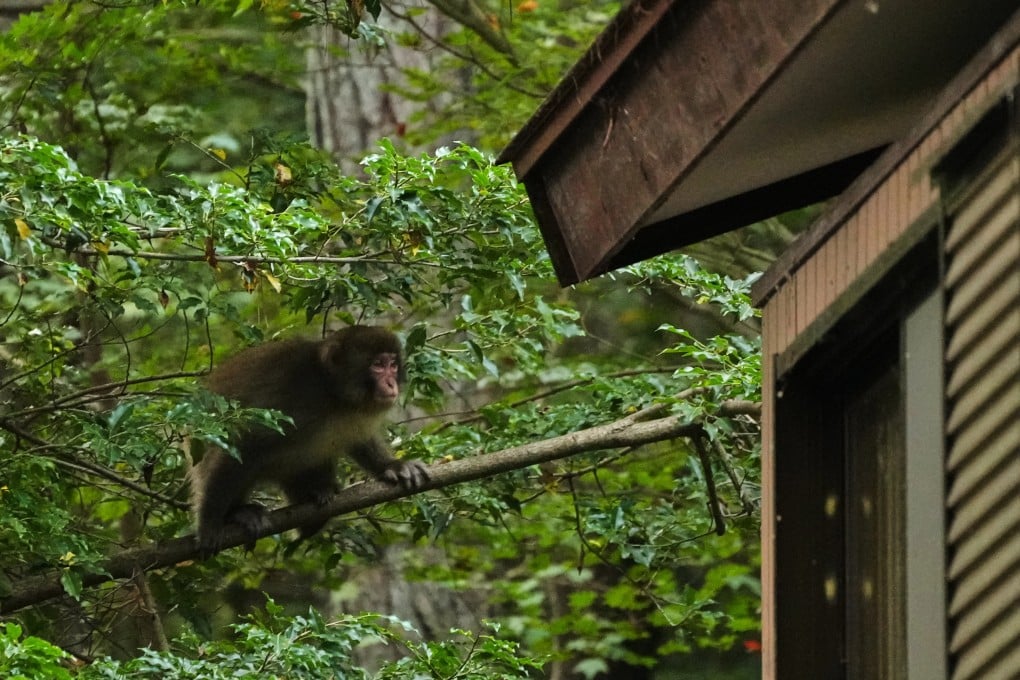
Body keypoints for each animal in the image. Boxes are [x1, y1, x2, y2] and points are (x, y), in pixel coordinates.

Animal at [188, 326, 429, 554]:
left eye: (393, 365)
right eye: (378, 365)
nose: (391, 384)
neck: (331, 391)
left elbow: (359, 438)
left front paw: (391, 466)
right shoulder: (292, 401)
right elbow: (244, 442)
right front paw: (209, 524)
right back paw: (238, 513)